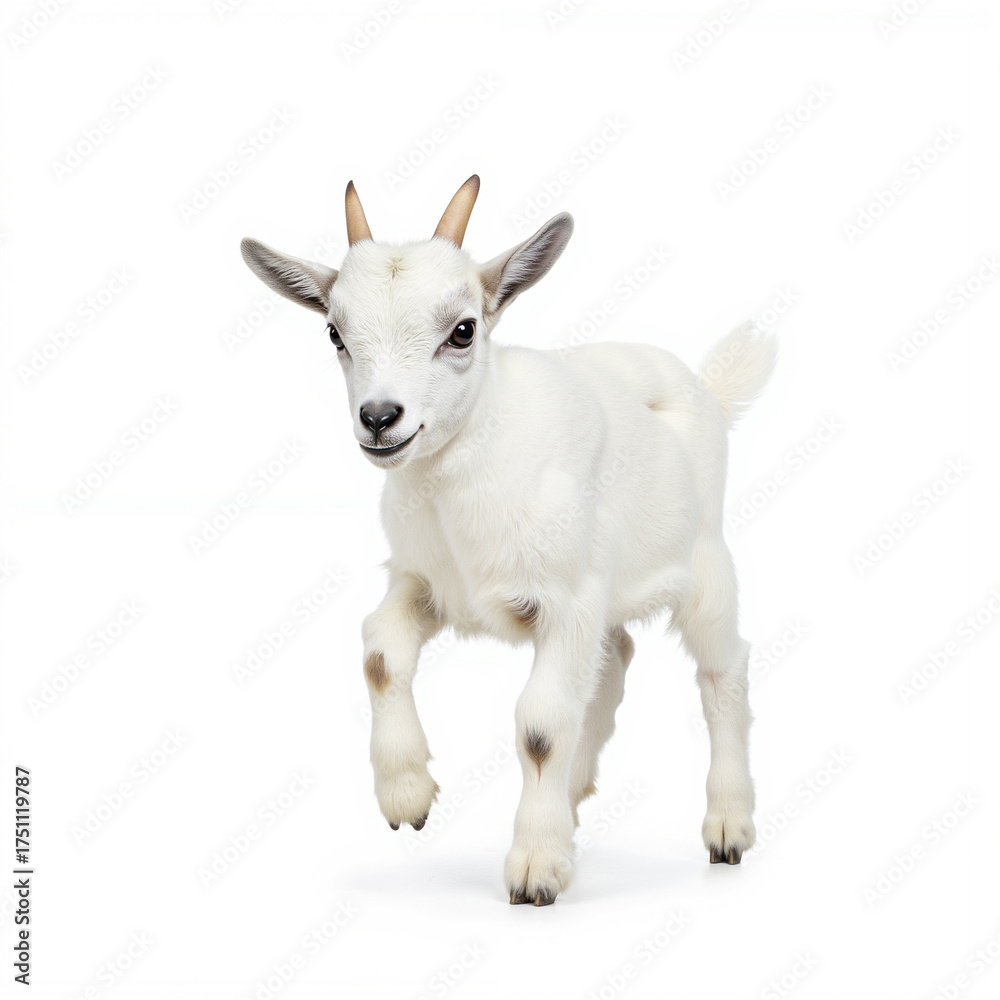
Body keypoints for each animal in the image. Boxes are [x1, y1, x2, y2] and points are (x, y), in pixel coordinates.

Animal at [240, 175, 776, 906]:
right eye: (334, 332)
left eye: (463, 330)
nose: (380, 418)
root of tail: (707, 391)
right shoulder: (425, 581)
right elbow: (379, 651)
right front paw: (407, 795)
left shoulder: (565, 599)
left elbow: (541, 726)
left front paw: (535, 867)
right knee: (615, 658)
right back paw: (574, 796)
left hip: (704, 565)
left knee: (723, 671)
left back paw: (727, 824)